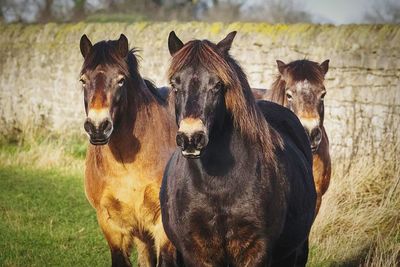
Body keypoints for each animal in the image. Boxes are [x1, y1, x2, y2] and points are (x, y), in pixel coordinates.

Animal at [79, 34, 177, 266]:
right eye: (83, 80)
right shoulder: (111, 224)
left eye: (121, 80)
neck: (127, 165)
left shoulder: (163, 227)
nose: (98, 127)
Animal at [159, 30, 316, 266]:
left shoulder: (256, 250)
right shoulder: (196, 252)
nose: (191, 138)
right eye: (175, 84)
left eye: (217, 85)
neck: (216, 186)